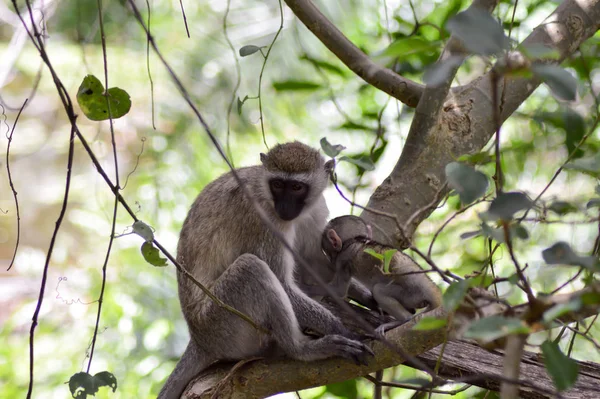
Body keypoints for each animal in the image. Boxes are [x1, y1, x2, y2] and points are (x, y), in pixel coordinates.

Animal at [159, 142, 376, 398]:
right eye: (278, 184)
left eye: (297, 187)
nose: (285, 208)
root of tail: (199, 338)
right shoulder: (263, 218)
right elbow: (283, 282)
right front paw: (341, 329)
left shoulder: (315, 210)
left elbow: (314, 264)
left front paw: (369, 297)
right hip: (220, 323)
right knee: (251, 268)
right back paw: (303, 349)